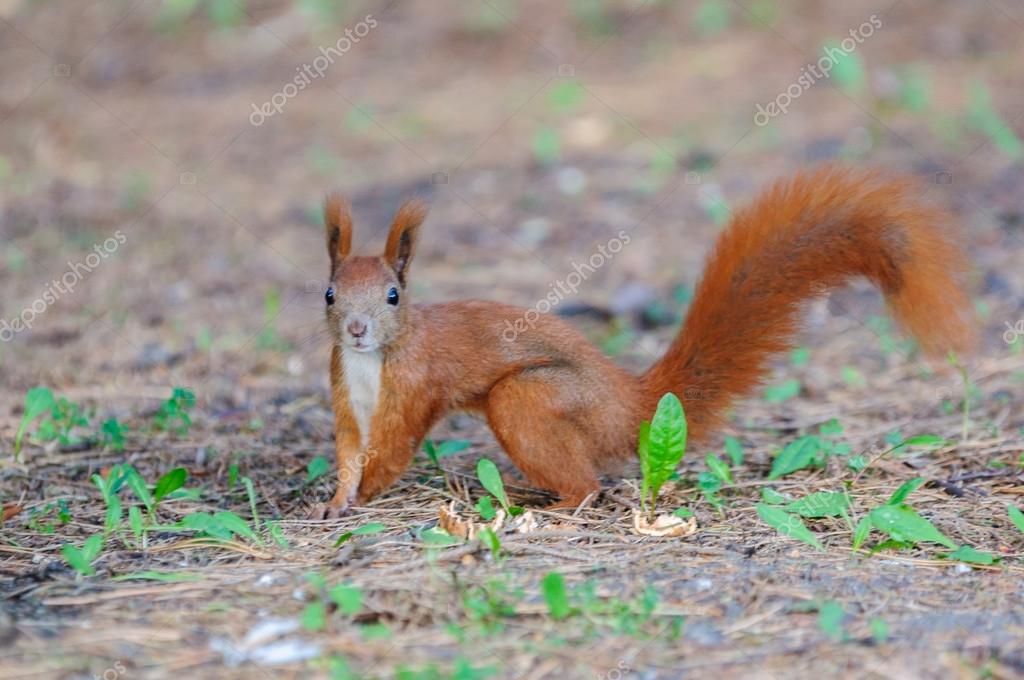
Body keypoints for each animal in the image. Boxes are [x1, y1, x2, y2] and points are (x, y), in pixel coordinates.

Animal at [308, 166, 975, 519]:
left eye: (394, 296)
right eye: (329, 294)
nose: (358, 330)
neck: (372, 364)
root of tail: (631, 403)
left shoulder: (413, 386)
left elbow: (390, 449)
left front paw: (359, 498)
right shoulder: (344, 392)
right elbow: (350, 449)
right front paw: (334, 500)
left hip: (530, 399)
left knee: (588, 485)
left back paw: (549, 509)